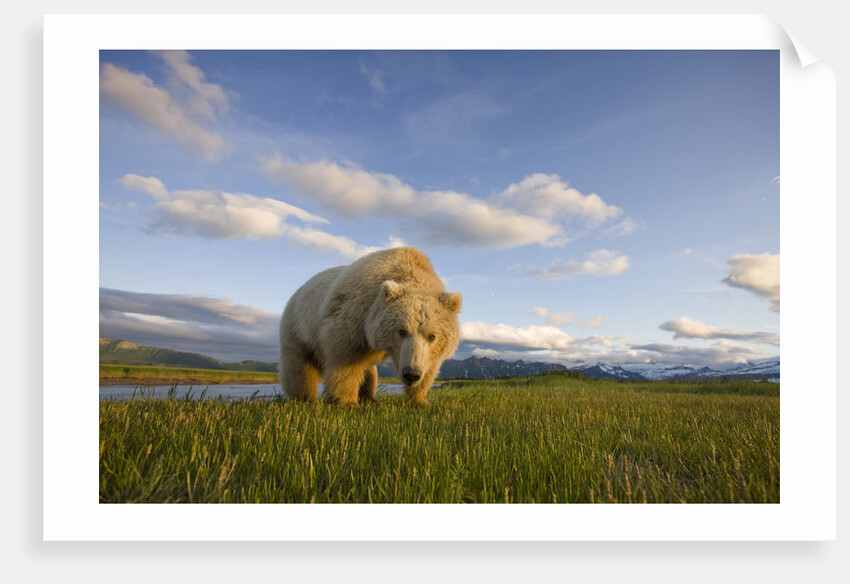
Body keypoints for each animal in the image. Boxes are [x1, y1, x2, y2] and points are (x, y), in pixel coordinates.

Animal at [279, 246, 462, 407]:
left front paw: (421, 400)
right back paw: (304, 398)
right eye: (401, 331)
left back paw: (370, 398)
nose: (411, 374)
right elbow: (345, 359)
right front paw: (347, 402)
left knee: (369, 372)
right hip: (299, 328)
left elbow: (430, 367)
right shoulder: (355, 317)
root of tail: (299, 290)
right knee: (299, 368)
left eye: (432, 336)